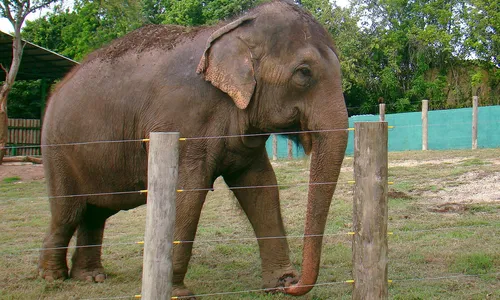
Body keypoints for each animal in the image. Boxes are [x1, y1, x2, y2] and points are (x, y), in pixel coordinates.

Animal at [39, 0, 348, 298]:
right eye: (304, 73)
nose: (293, 285)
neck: (231, 28)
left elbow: (262, 188)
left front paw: (279, 283)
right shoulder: (181, 121)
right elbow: (188, 192)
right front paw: (178, 293)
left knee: (95, 213)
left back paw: (91, 276)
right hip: (56, 148)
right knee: (67, 211)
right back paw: (52, 277)